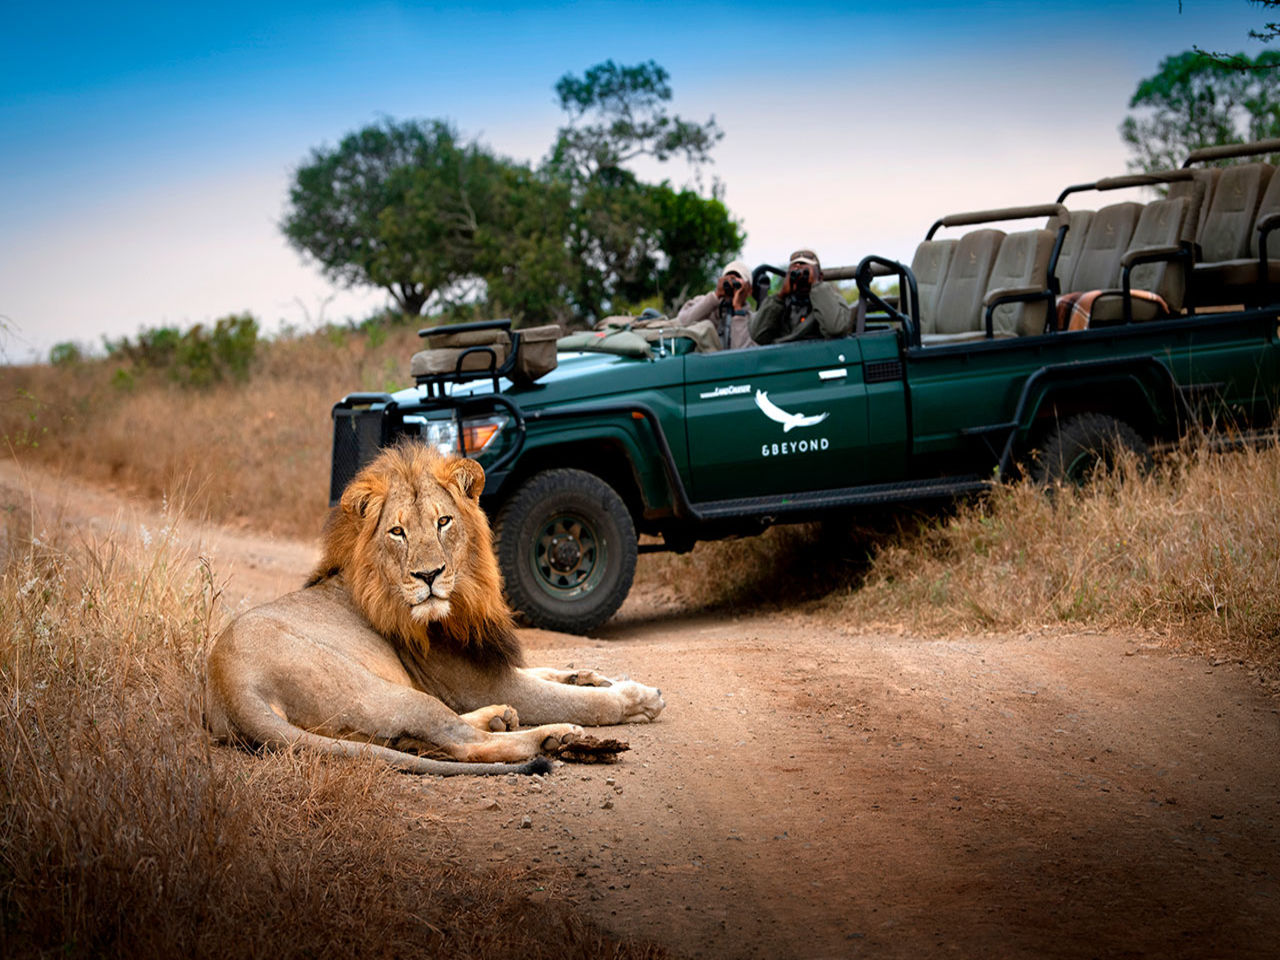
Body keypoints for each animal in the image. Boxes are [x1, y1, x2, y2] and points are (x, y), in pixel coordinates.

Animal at [204, 442, 665, 775]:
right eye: (397, 532)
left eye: (443, 522)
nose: (429, 575)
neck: (465, 598)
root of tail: (232, 688)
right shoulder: (480, 683)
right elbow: (577, 701)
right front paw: (638, 698)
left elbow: (548, 671)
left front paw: (589, 675)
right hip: (384, 693)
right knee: (466, 744)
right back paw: (556, 738)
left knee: (435, 738)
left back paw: (500, 718)